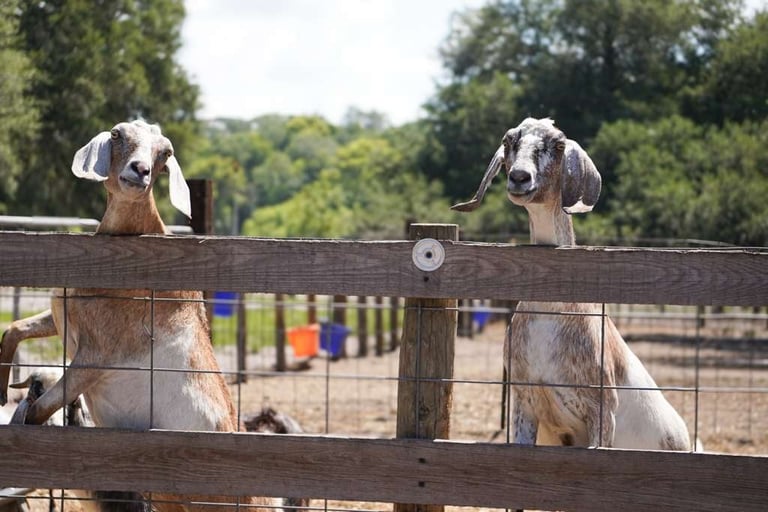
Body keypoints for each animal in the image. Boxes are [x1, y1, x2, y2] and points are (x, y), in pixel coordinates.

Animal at [0, 120, 279, 511]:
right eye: (117, 134)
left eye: (165, 152)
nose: (140, 171)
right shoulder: (64, 320)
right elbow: (15, 327)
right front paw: (0, 389)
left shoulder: (97, 355)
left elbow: (39, 410)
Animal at [452, 117, 693, 450]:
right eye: (509, 140)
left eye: (558, 144)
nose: (520, 178)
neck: (552, 312)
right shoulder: (525, 403)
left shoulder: (602, 412)